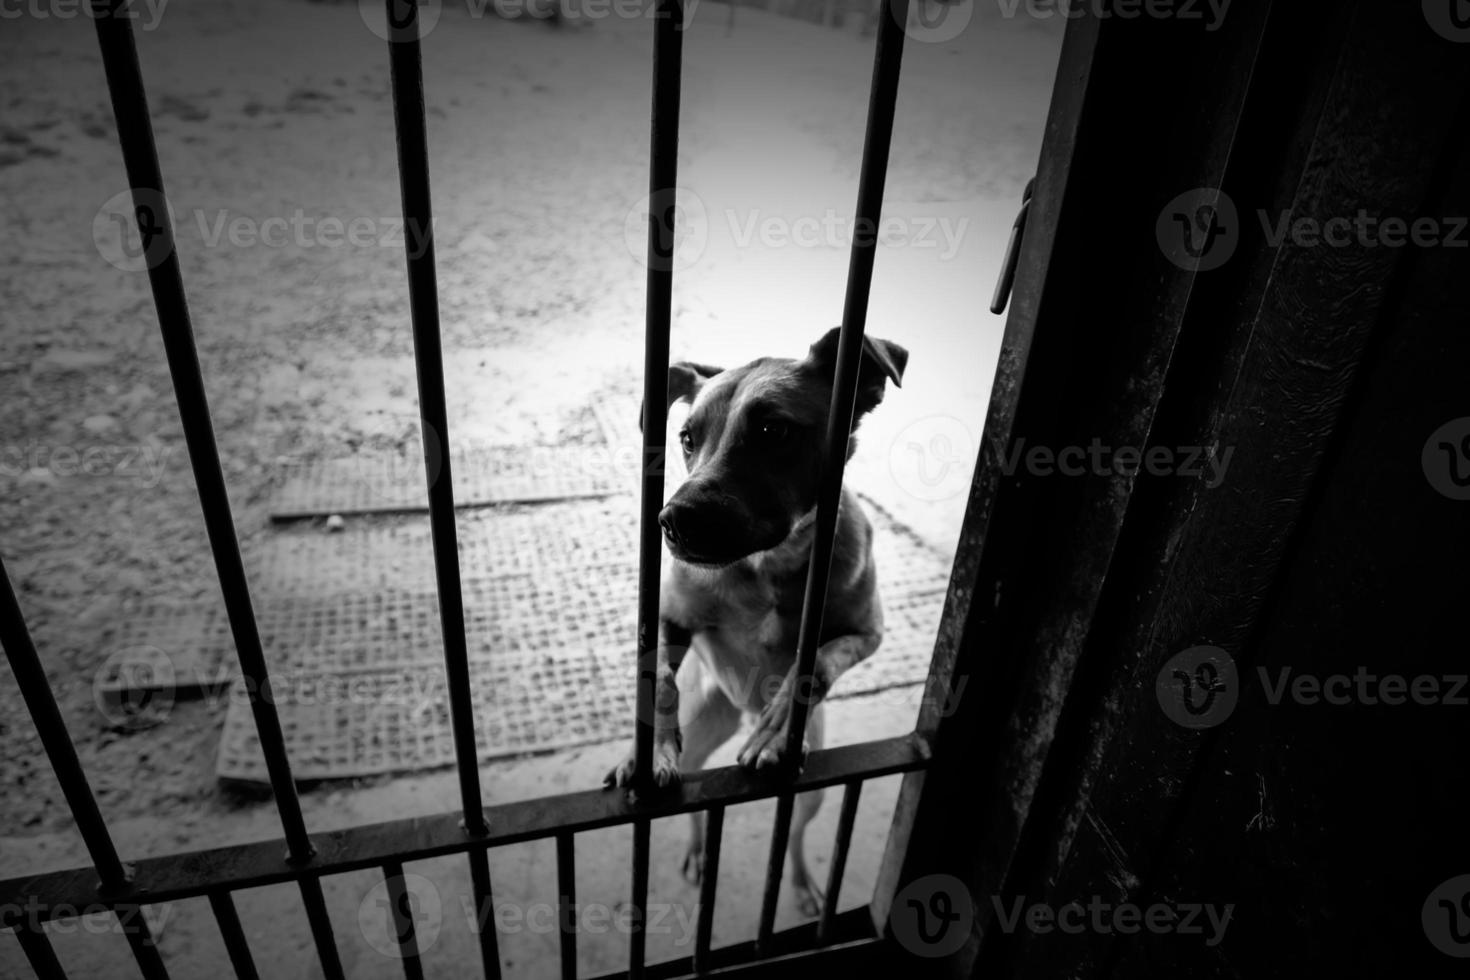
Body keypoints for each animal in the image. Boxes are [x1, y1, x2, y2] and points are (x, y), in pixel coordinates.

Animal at [599, 327, 905, 922]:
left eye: (773, 430)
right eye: (686, 438)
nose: (672, 522)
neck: (766, 565)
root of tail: (737, 709)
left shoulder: (867, 634)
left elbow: (814, 665)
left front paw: (776, 730)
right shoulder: (668, 618)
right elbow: (659, 677)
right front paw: (647, 752)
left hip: (812, 790)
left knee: (794, 833)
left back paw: (803, 883)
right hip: (704, 723)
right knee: (697, 792)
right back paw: (698, 848)